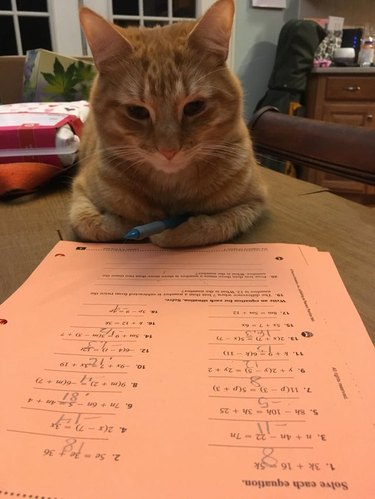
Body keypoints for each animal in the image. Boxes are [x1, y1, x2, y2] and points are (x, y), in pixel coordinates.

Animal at [69, 0, 266, 249]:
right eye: (137, 111)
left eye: (194, 107)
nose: (168, 151)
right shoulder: (80, 191)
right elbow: (96, 225)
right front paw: (131, 222)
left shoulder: (253, 201)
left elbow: (212, 226)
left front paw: (169, 232)